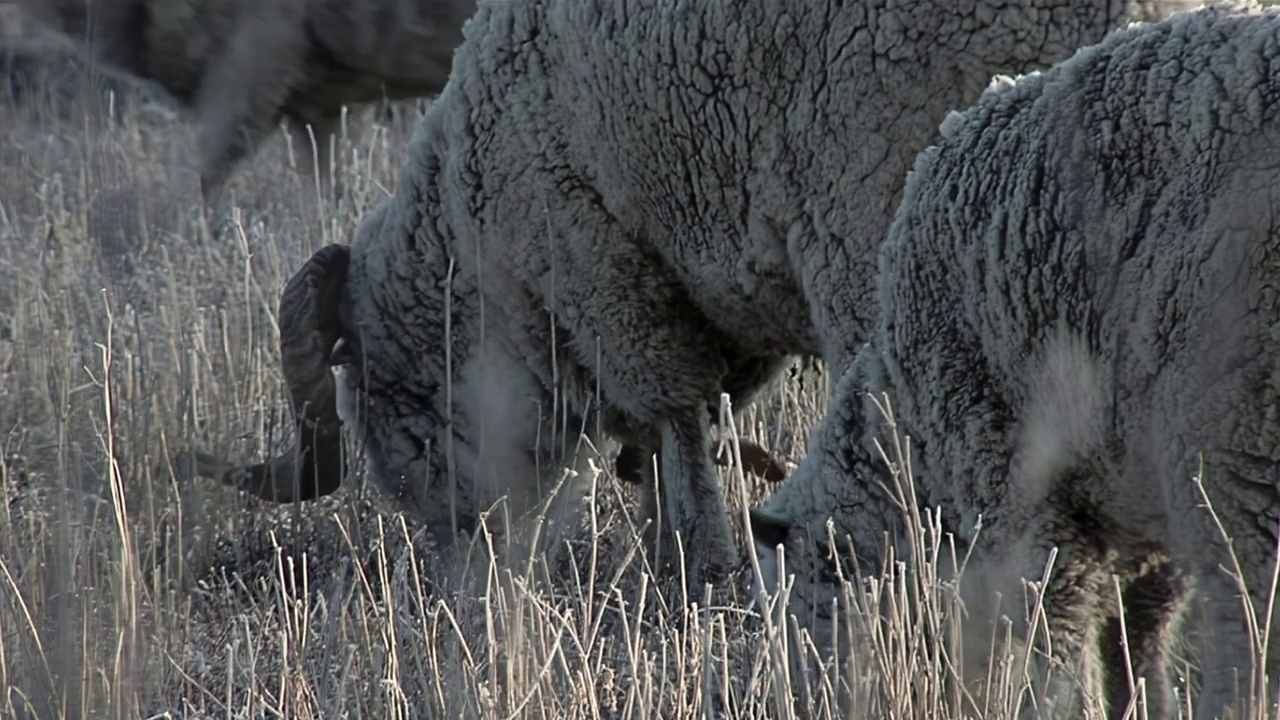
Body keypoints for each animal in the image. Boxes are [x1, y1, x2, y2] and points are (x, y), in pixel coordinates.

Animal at [183, 0, 1208, 584]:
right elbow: (679, 437)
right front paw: (677, 556)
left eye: (374, 401)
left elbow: (678, 419)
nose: (454, 573)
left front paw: (705, 575)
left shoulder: (600, 265)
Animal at [747, 7, 1280, 717]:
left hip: (1236, 440)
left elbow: (1049, 630)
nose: (792, 699)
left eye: (800, 613)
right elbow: (1138, 632)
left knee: (1249, 622)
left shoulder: (1017, 481)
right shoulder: (1136, 497)